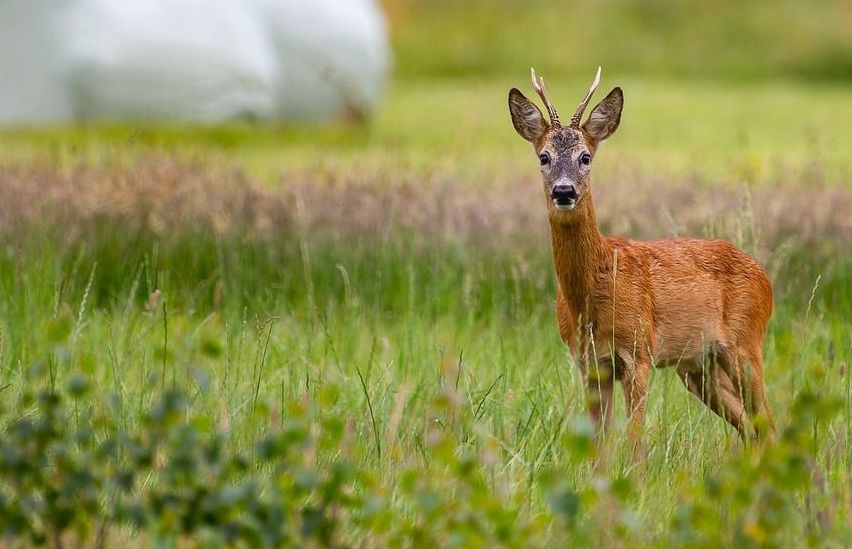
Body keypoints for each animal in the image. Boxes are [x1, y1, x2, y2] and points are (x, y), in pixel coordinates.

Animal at [508, 67, 774, 448]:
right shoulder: (590, 364)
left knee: (768, 421)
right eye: (543, 157)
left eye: (585, 157)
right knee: (751, 428)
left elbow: (635, 442)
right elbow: (599, 444)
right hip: (699, 367)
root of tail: (765, 278)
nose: (564, 191)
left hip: (745, 344)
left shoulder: (639, 353)